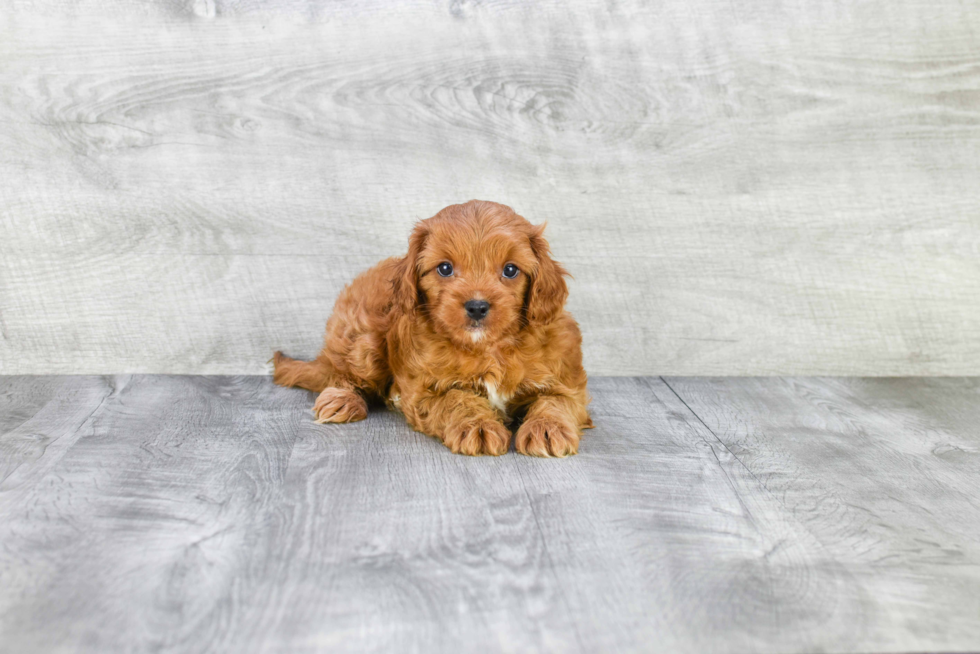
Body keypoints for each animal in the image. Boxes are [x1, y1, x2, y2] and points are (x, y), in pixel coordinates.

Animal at [276, 199, 596, 456]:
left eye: (510, 270)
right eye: (444, 268)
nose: (477, 306)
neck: (488, 348)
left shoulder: (566, 379)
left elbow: (556, 400)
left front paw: (547, 428)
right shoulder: (423, 391)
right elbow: (456, 398)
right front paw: (478, 425)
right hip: (363, 341)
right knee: (342, 374)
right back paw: (343, 400)